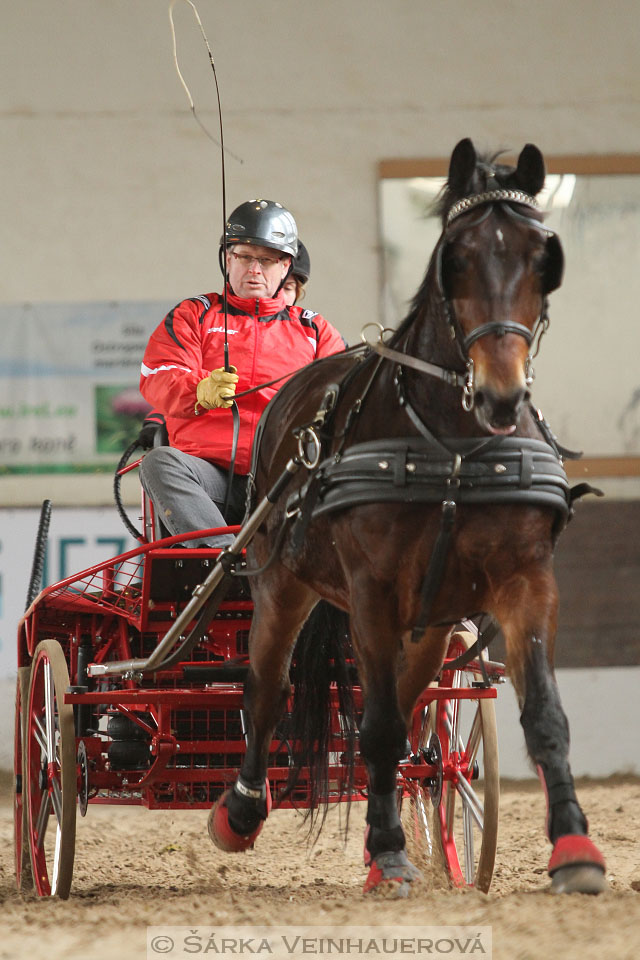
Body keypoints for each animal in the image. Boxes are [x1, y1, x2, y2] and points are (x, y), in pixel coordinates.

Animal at [209, 139, 604, 896]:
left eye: (543, 256)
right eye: (456, 255)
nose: (503, 394)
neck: (453, 449)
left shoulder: (525, 582)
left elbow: (543, 714)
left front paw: (574, 848)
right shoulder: (372, 590)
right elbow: (380, 727)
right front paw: (390, 852)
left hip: (432, 622)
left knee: (408, 700)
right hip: (282, 585)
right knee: (267, 690)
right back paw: (240, 812)